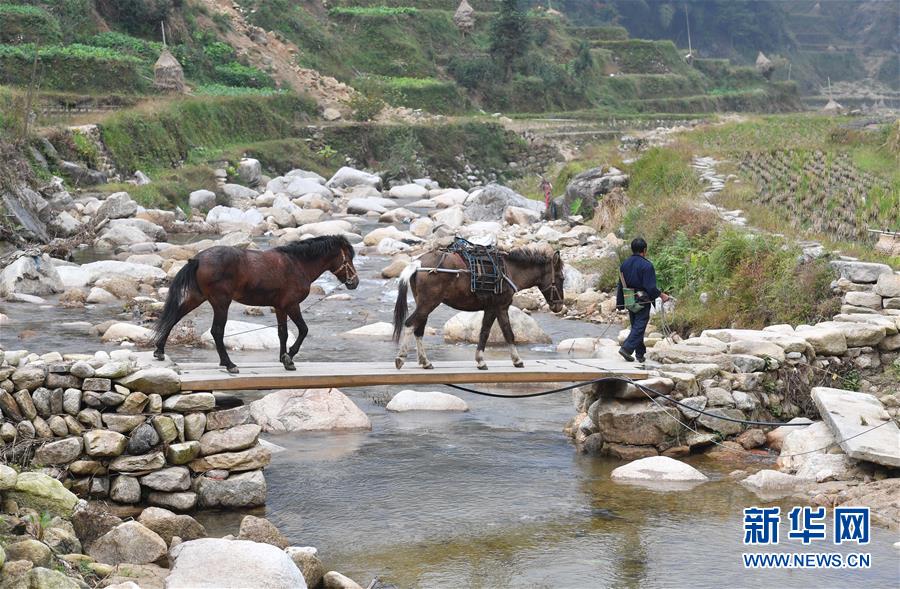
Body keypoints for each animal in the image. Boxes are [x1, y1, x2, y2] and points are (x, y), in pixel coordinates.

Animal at [151, 235, 359, 373]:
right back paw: (229, 364)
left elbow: (282, 333)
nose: (354, 282)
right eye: (348, 258)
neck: (297, 264)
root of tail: (198, 259)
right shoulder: (292, 305)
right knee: (217, 331)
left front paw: (284, 359)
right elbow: (303, 330)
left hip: (198, 297)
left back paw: (159, 350)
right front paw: (289, 357)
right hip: (221, 303)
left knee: (174, 317)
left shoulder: (280, 307)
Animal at [392, 246, 565, 370]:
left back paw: (425, 362)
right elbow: (500, 333)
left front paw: (487, 360)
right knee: (410, 324)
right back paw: (401, 358)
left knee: (418, 329)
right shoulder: (499, 307)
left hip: (424, 304)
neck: (509, 271)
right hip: (429, 303)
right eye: (561, 278)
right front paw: (512, 360)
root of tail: (418, 264)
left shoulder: (494, 309)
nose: (559, 306)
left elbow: (493, 333)